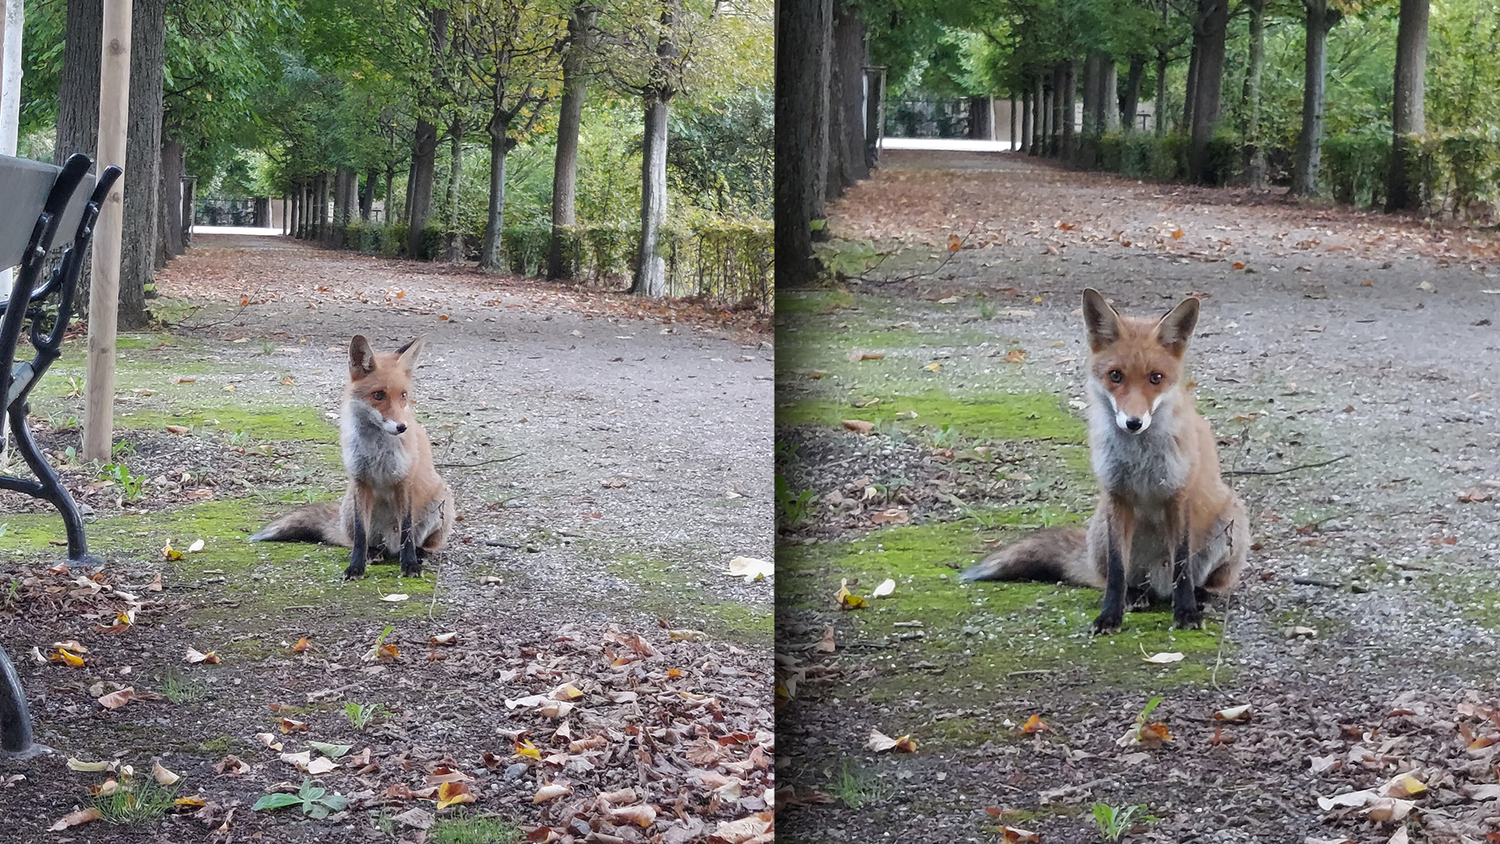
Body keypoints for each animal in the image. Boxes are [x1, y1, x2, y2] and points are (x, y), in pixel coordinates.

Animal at [250, 335, 455, 579]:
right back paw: (373, 553)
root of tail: (390, 546)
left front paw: (410, 565)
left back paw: (420, 552)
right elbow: (360, 534)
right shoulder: (360, 480)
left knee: (425, 543)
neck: (376, 451)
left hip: (441, 499)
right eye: (379, 395)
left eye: (404, 395)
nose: (402, 427)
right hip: (349, 507)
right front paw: (356, 566)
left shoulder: (404, 479)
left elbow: (406, 531)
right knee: (361, 540)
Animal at [962, 288, 1248, 634]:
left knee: (1208, 581)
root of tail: (1158, 586)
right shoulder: (1116, 495)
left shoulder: (1178, 494)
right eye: (1115, 376)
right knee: (1115, 578)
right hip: (1099, 529)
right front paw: (1110, 615)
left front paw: (1187, 613)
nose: (1134, 422)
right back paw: (1136, 595)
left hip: (1231, 519)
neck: (1140, 461)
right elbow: (1116, 569)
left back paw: (1200, 594)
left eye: (1156, 378)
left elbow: (1182, 564)